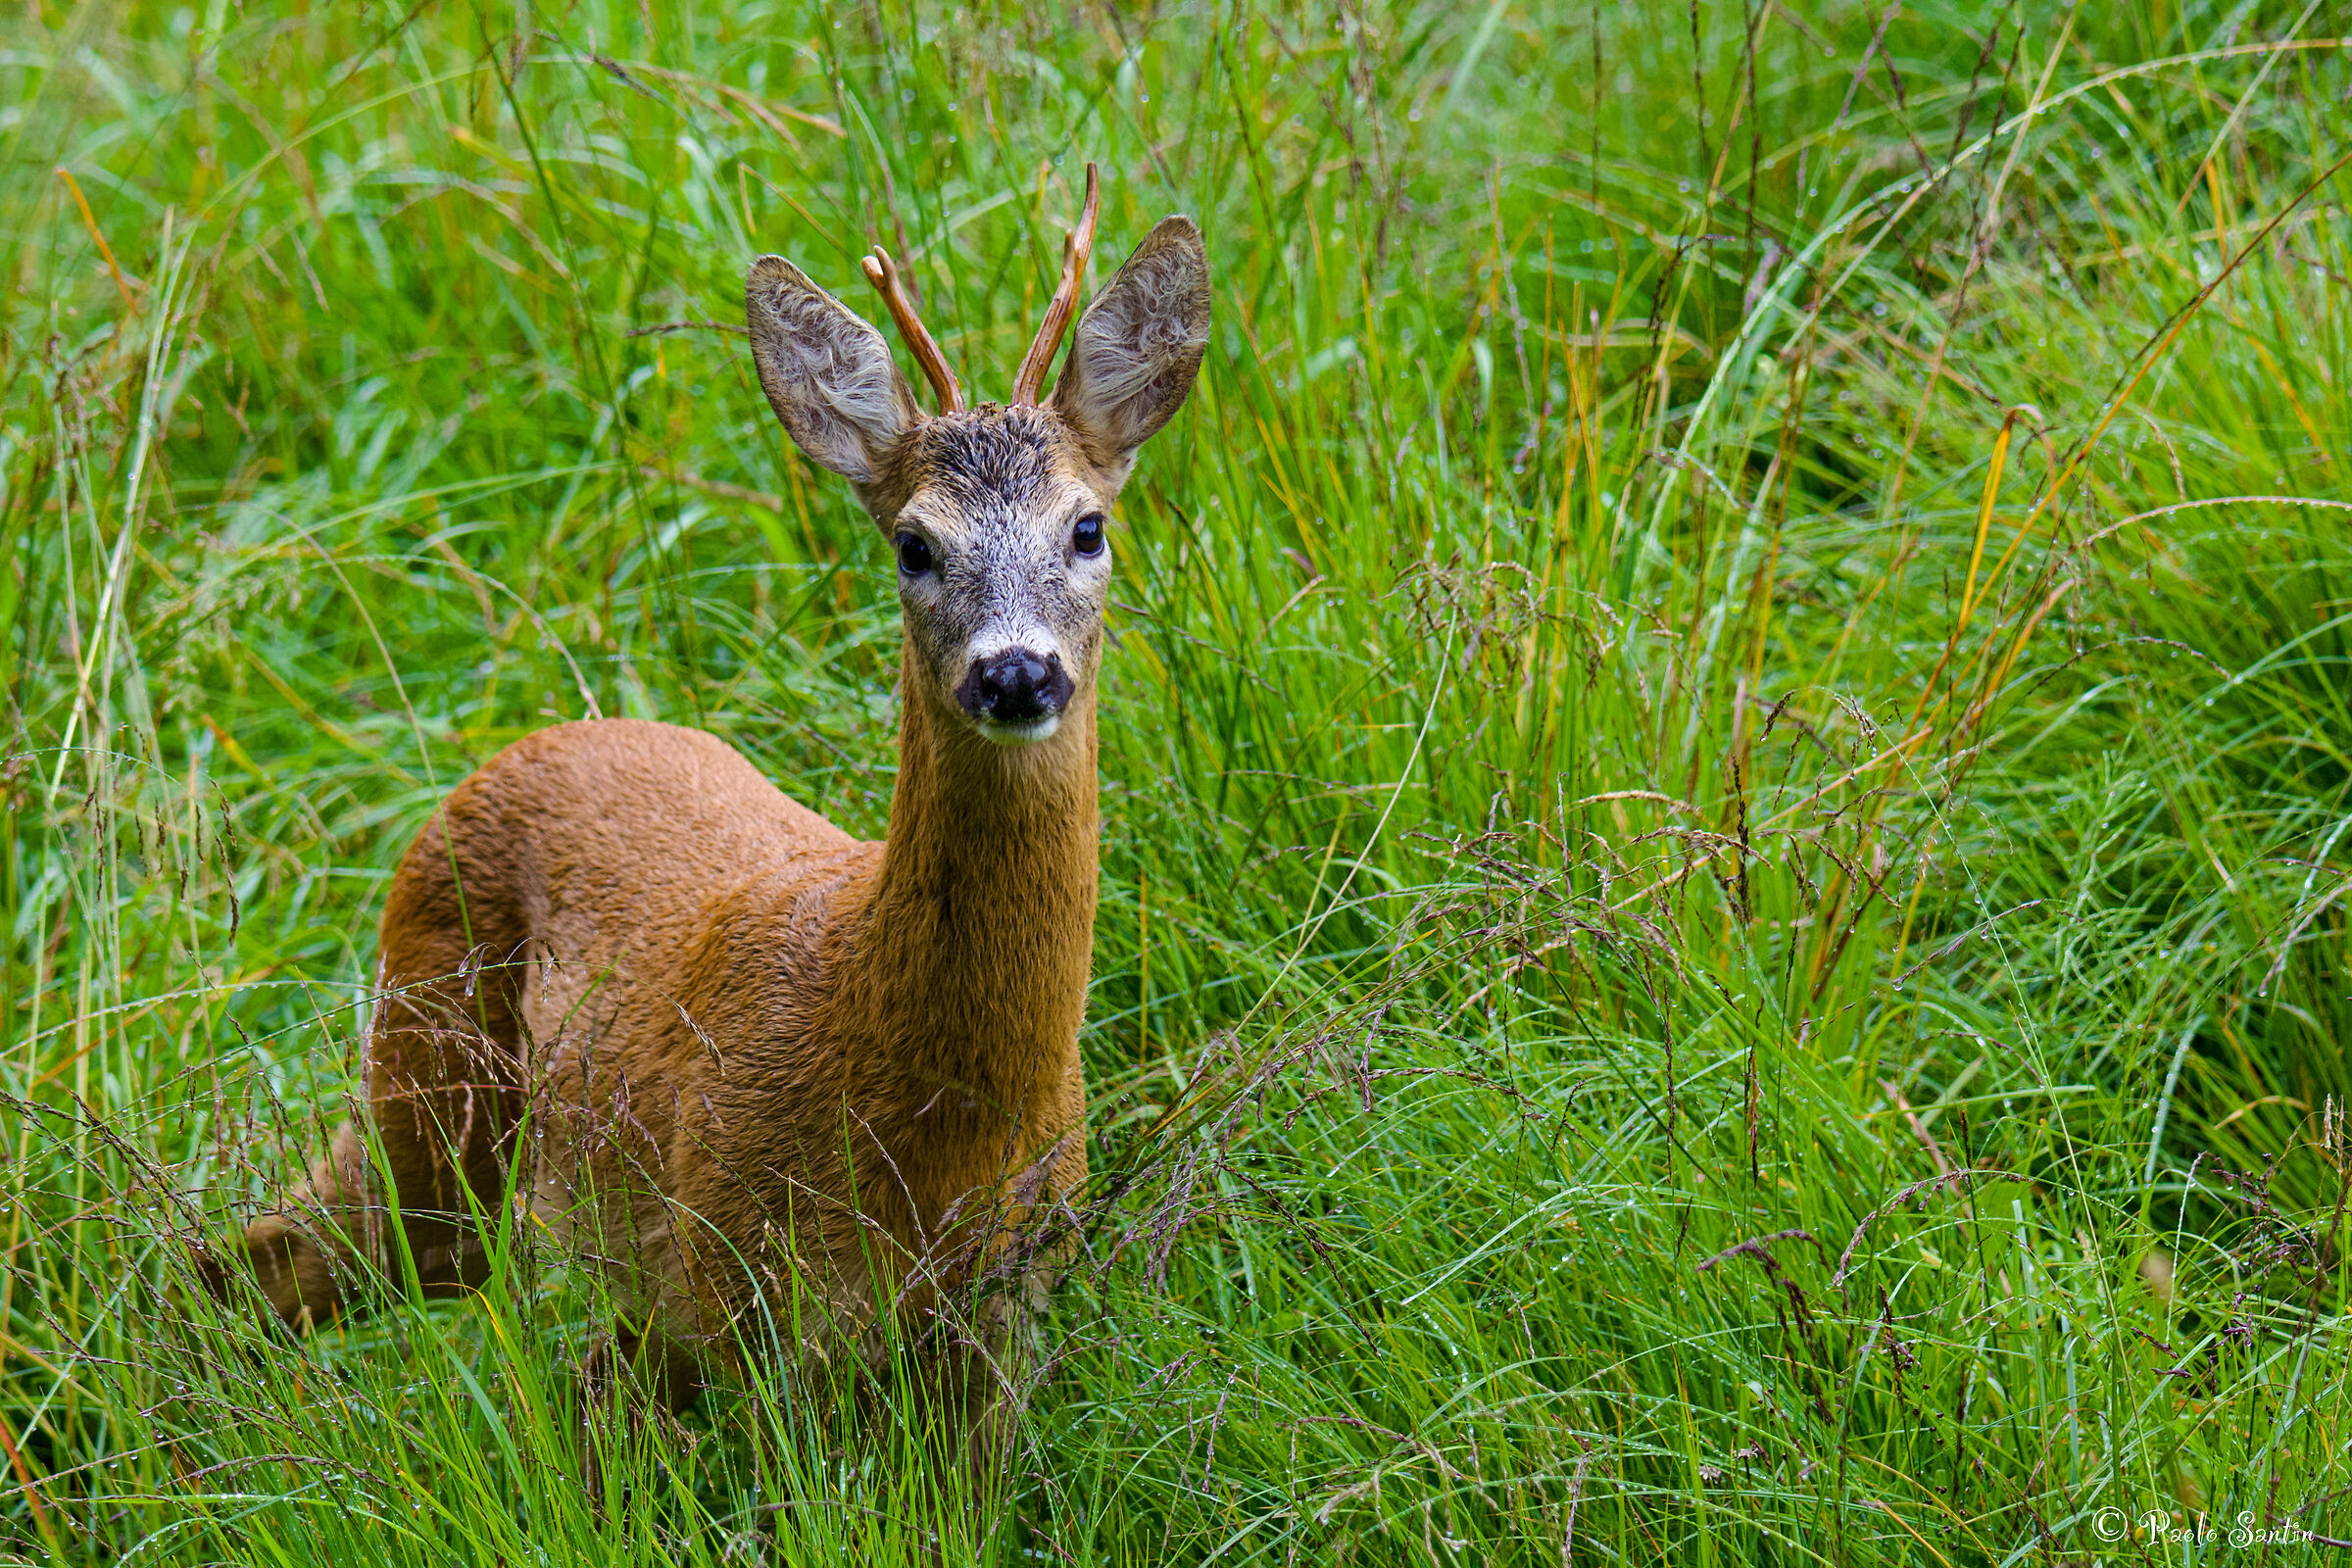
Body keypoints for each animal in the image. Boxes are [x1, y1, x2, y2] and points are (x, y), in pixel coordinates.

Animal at [205, 164, 1210, 1454]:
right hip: (435, 1079)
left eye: (1088, 527)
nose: (1016, 673)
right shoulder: (741, 1279)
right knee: (262, 1258)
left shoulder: (1007, 1304)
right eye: (913, 544)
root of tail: (527, 744)